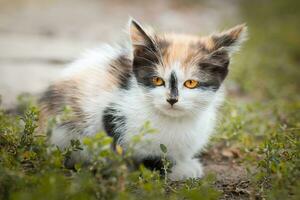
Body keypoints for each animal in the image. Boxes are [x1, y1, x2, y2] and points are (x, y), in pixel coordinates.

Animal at [39, 19, 246, 180]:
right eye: (157, 80)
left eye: (191, 83)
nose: (172, 100)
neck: (173, 121)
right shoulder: (112, 113)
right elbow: (132, 152)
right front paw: (178, 169)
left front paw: (183, 163)